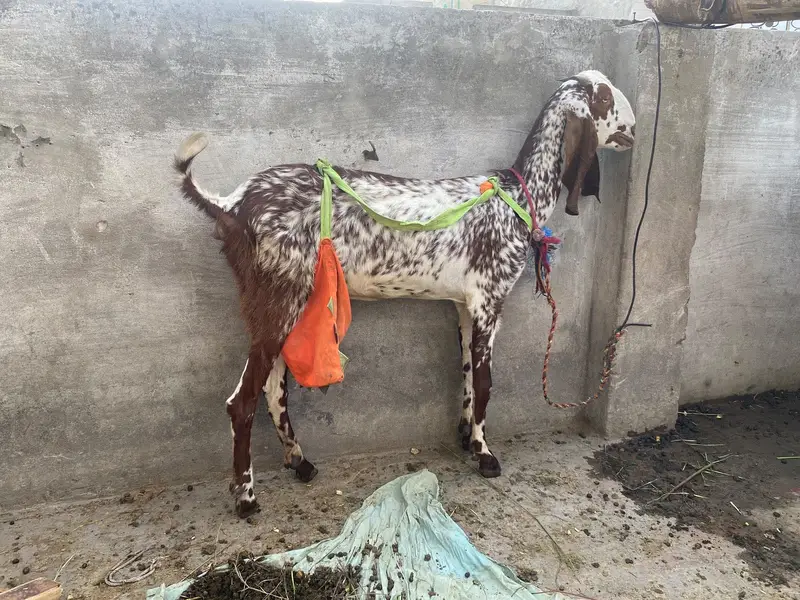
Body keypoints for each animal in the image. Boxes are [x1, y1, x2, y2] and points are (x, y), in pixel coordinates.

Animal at [174, 70, 635, 518]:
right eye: (605, 99)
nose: (633, 129)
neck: (518, 195)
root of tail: (233, 206)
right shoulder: (489, 298)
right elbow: (486, 381)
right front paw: (486, 455)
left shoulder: (463, 305)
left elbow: (466, 374)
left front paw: (466, 437)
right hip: (278, 295)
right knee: (242, 400)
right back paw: (246, 498)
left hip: (287, 301)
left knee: (273, 389)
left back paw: (300, 462)